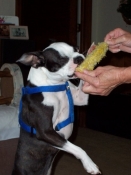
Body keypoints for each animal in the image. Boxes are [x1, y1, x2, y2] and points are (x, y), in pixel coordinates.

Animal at [12, 41, 100, 174]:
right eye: (62, 60)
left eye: (77, 49)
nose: (79, 58)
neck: (55, 86)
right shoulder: (45, 132)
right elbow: (78, 149)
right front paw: (89, 164)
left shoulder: (79, 98)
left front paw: (91, 51)